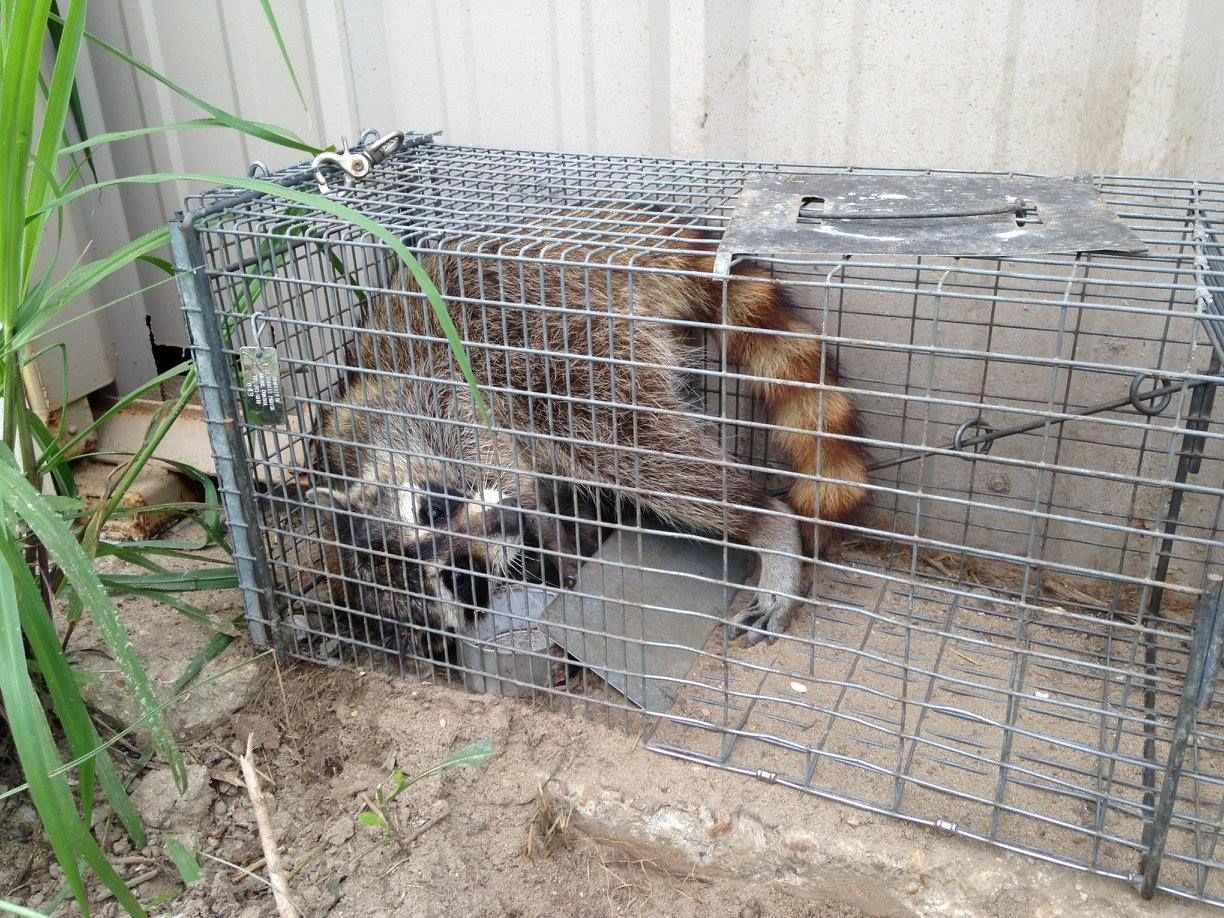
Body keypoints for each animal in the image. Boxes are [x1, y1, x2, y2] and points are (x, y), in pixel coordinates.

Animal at [304, 206, 869, 655]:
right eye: (459, 579)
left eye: (431, 510)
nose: (501, 522)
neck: (372, 454)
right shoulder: (346, 426)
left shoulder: (427, 397)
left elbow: (501, 454)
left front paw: (546, 529)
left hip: (561, 339)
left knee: (635, 448)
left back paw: (765, 519)